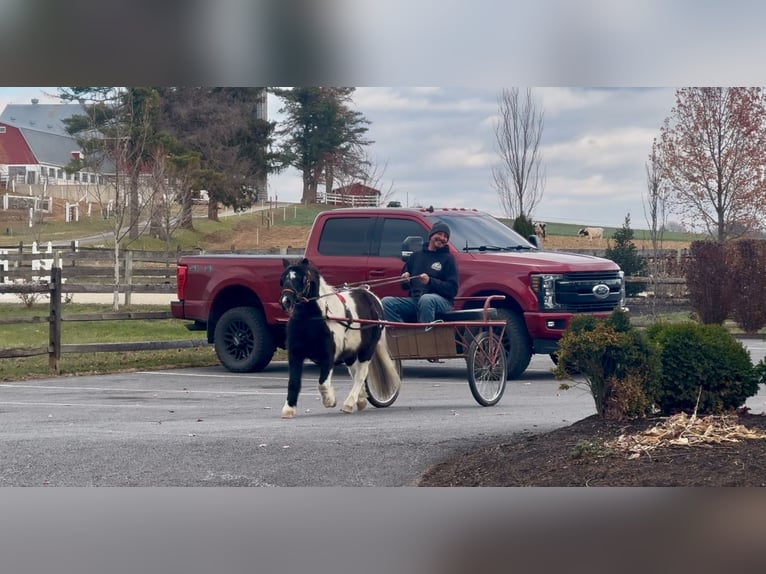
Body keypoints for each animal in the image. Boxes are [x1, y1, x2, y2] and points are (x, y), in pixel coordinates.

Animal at [280, 260, 402, 418]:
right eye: (282, 279)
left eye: (302, 278)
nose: (286, 301)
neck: (312, 320)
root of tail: (372, 296)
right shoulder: (295, 354)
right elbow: (294, 382)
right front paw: (289, 409)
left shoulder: (328, 356)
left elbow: (322, 383)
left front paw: (330, 400)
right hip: (350, 353)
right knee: (355, 372)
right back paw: (360, 400)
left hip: (367, 350)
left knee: (361, 374)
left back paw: (349, 403)